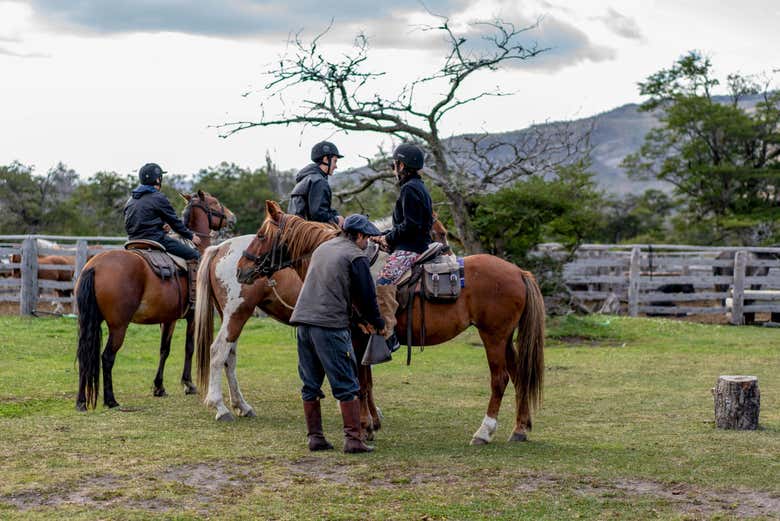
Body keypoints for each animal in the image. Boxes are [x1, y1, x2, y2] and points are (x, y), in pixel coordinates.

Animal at [74, 190, 236, 411]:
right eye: (215, 203)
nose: (232, 217)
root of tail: (95, 266)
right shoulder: (192, 317)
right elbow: (188, 348)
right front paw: (188, 384)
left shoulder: (168, 319)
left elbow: (164, 350)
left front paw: (159, 387)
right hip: (118, 326)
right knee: (107, 357)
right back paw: (111, 400)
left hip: (89, 322)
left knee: (86, 355)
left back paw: (81, 401)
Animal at [193, 213, 450, 429]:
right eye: (439, 233)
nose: (447, 256)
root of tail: (221, 247)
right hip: (236, 314)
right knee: (218, 352)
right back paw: (219, 406)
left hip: (234, 316)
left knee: (229, 357)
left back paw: (241, 405)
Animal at [232, 201, 545, 445]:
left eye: (260, 235)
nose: (240, 269)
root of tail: (519, 272)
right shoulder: (364, 337)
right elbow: (366, 381)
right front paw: (371, 423)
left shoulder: (357, 336)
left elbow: (360, 381)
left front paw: (364, 426)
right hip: (504, 338)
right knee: (518, 374)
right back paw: (519, 429)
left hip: (493, 336)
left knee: (500, 379)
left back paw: (484, 431)